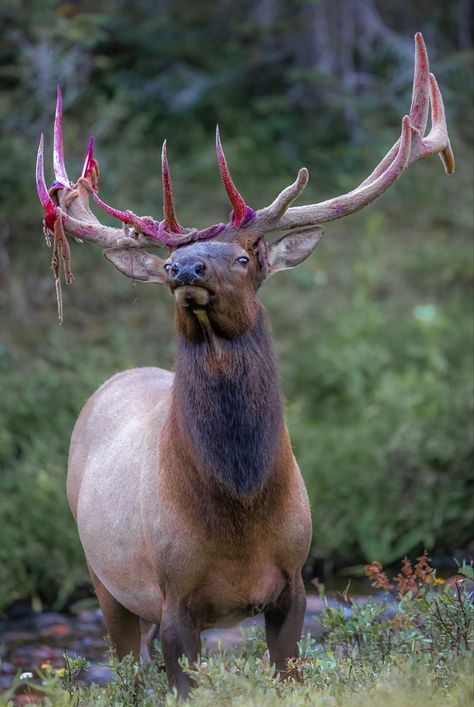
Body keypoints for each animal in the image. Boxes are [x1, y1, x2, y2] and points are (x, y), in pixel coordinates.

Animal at [36, 34, 452, 696]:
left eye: (242, 256)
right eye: (165, 267)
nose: (184, 267)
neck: (240, 514)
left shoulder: (294, 581)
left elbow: (288, 671)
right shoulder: (174, 597)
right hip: (104, 580)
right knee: (125, 668)